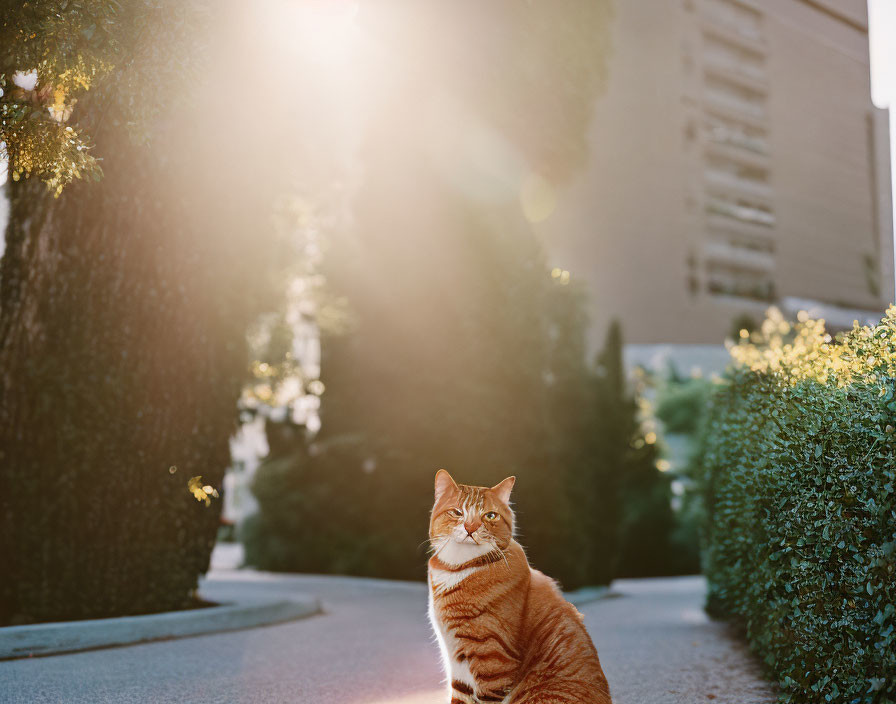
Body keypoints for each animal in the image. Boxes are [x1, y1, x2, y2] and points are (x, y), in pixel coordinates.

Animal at [426, 468, 608, 704]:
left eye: (490, 515)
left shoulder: (493, 661)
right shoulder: (459, 667)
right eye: (457, 512)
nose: (470, 527)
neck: (458, 567)